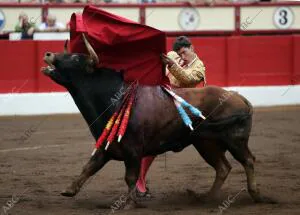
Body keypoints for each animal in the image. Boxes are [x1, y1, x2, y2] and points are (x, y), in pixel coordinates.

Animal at [41, 37, 272, 210]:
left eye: (75, 57)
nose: (48, 54)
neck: (116, 98)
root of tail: (241, 98)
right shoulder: (108, 146)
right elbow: (89, 166)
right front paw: (69, 190)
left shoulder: (133, 150)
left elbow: (130, 176)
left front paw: (128, 204)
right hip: (206, 144)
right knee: (223, 167)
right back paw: (205, 198)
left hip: (235, 140)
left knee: (248, 160)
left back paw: (256, 195)